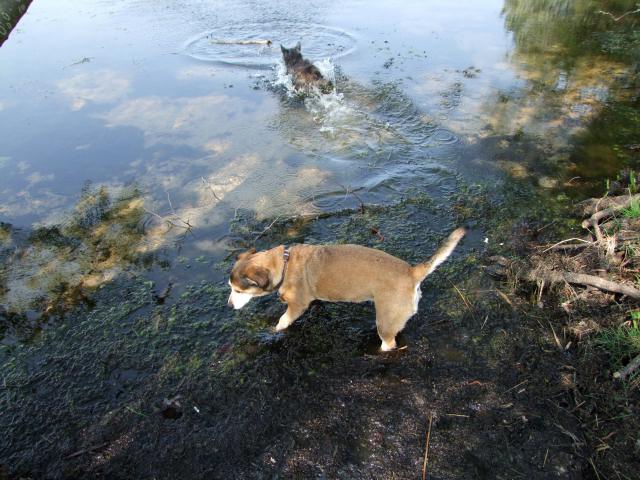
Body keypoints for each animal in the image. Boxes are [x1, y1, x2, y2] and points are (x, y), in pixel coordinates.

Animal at [229, 227, 464, 350]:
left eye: (238, 291)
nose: (229, 305)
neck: (284, 264)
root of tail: (412, 271)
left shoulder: (296, 305)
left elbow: (283, 321)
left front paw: (273, 331)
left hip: (385, 322)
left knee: (388, 343)